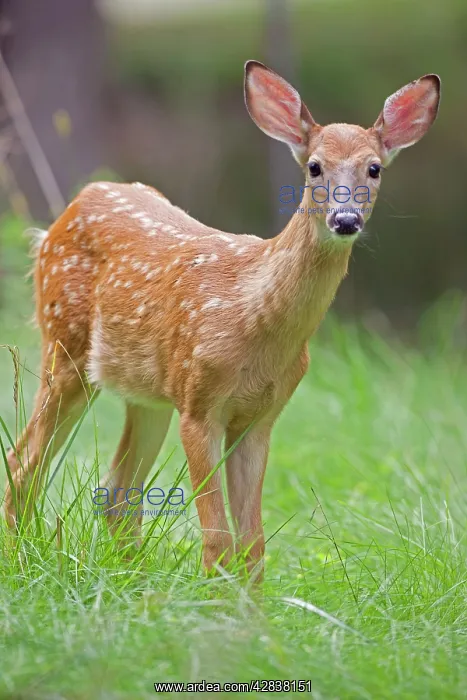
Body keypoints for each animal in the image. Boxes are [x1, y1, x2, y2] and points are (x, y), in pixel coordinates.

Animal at [3, 60, 440, 579]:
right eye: (314, 166)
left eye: (374, 168)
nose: (346, 219)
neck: (253, 319)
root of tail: (59, 219)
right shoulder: (199, 404)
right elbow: (217, 540)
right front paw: (217, 601)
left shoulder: (261, 417)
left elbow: (253, 543)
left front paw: (253, 605)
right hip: (65, 347)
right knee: (23, 463)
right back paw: (21, 558)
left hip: (147, 393)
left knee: (117, 491)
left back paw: (131, 575)